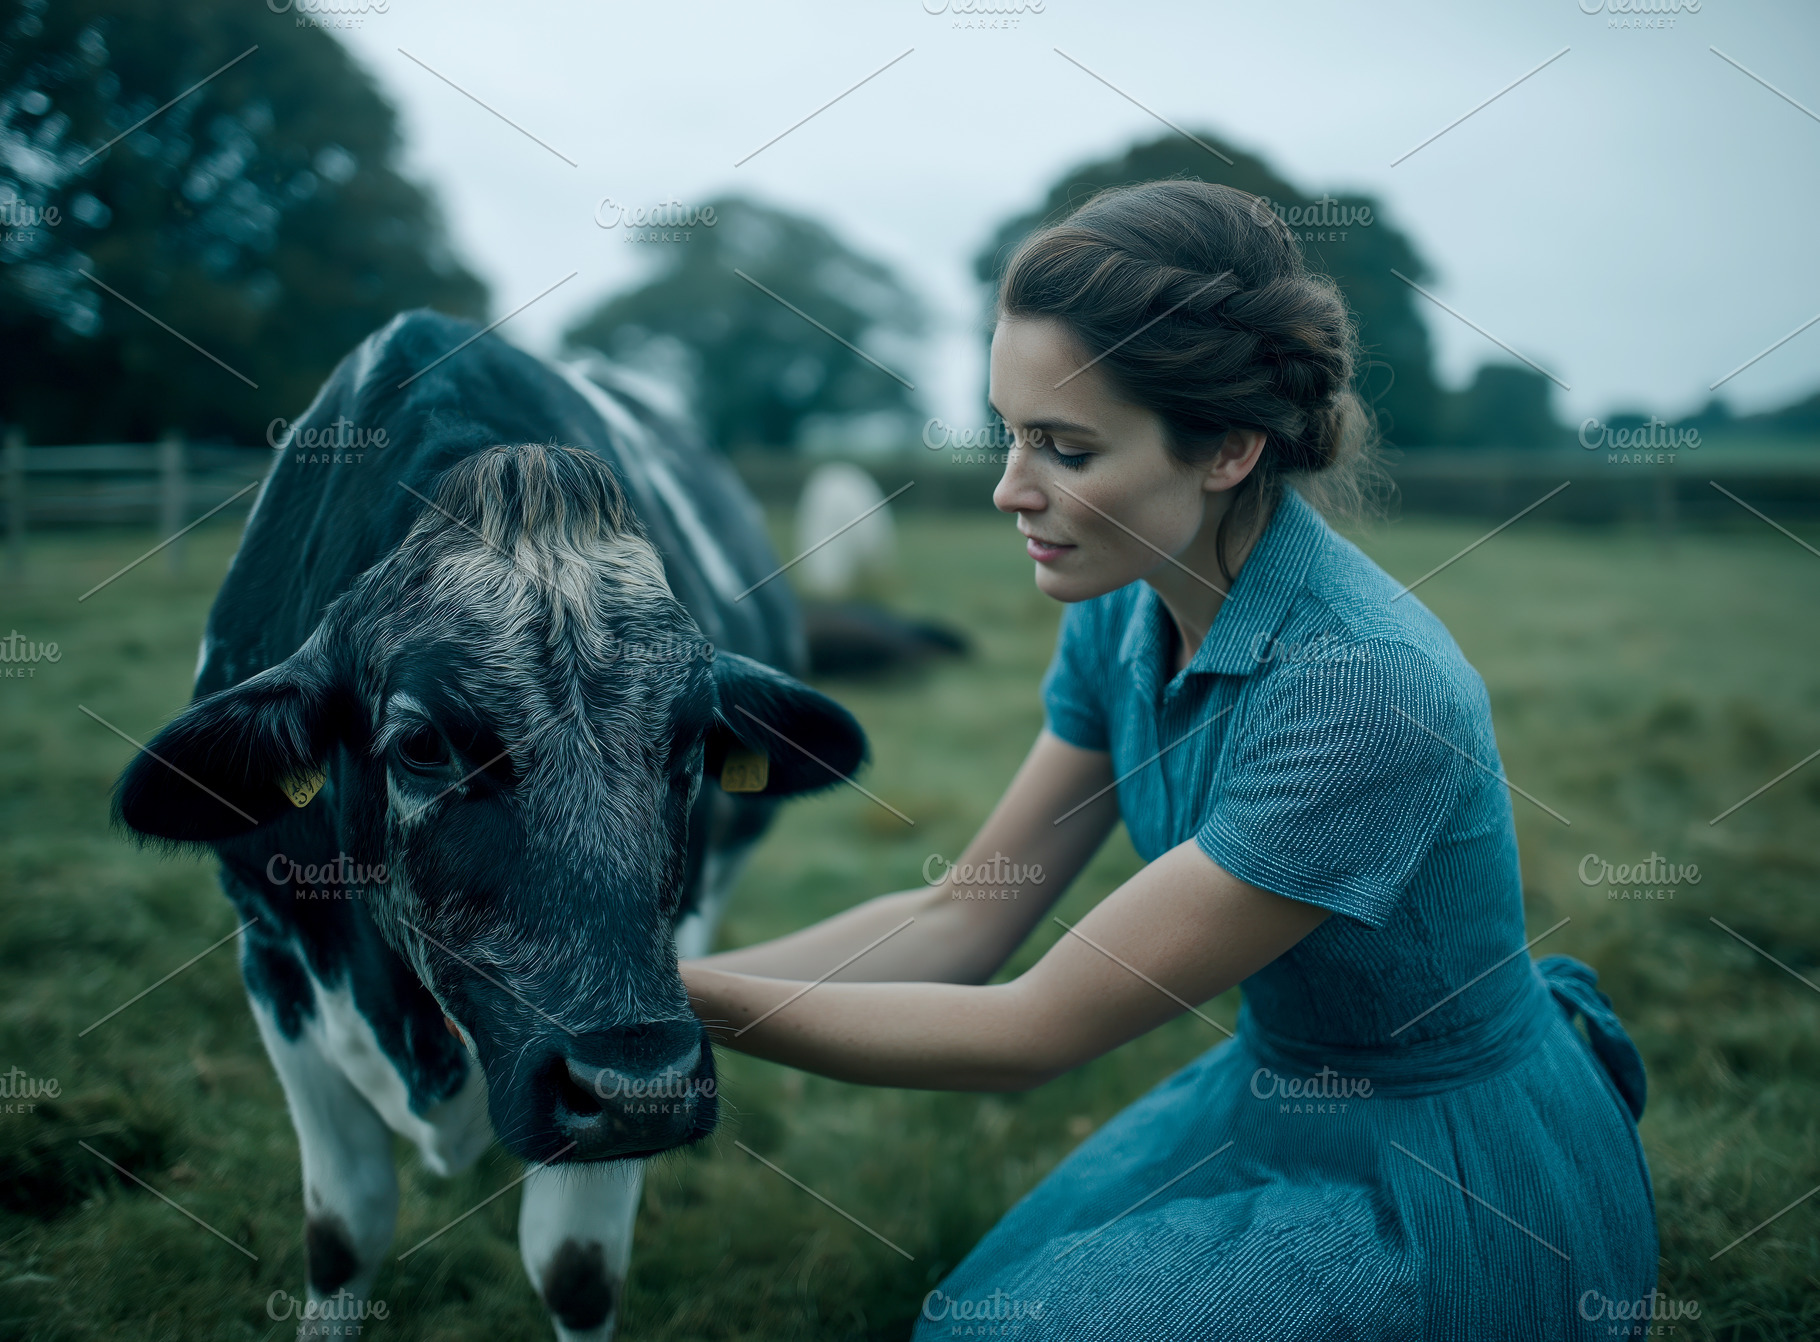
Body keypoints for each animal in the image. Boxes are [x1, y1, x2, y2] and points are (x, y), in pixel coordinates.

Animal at [111, 310, 867, 1340]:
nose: (639, 1087)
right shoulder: (272, 956)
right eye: (422, 742)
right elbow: (342, 1233)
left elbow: (574, 1267)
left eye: (695, 738)